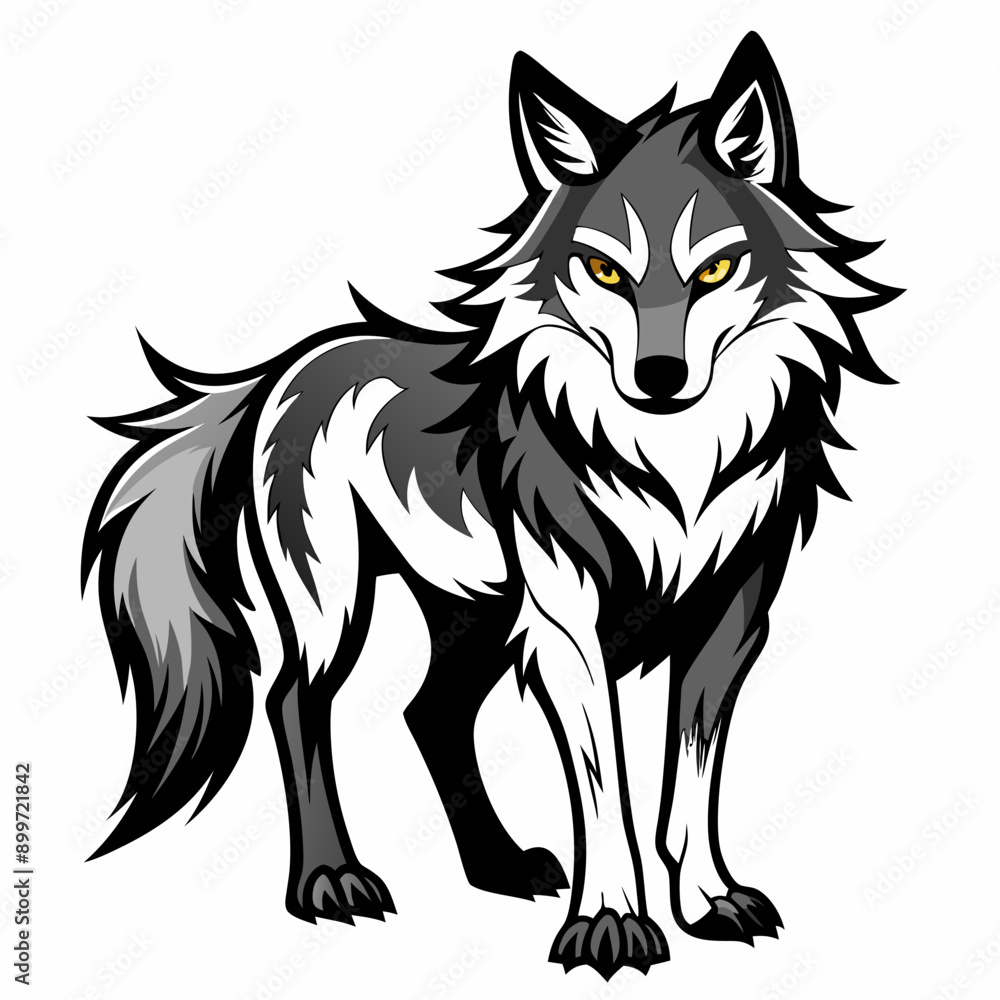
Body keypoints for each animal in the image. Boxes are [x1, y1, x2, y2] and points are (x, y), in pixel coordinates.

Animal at [83, 33, 897, 979]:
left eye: (717, 269)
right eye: (604, 269)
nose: (659, 377)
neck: (673, 473)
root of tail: (288, 365)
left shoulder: (727, 622)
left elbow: (690, 785)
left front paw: (706, 900)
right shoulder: (568, 626)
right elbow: (606, 789)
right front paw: (610, 922)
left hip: (479, 617)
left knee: (428, 713)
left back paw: (497, 867)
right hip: (340, 608)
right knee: (296, 704)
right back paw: (329, 881)